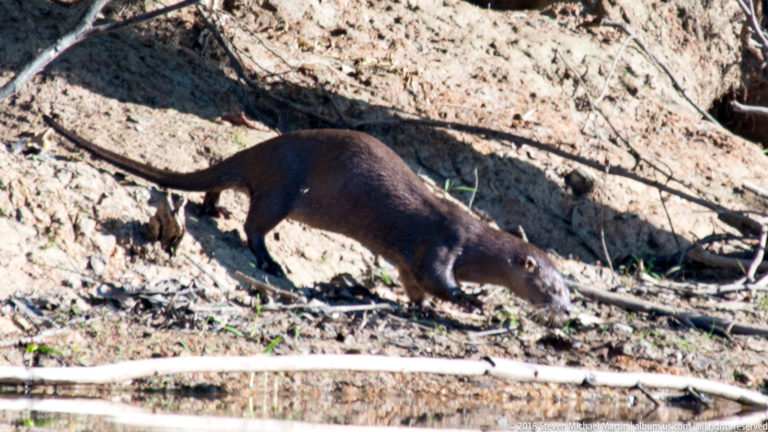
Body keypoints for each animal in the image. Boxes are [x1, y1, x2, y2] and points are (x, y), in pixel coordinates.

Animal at [43, 114, 571, 317]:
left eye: (566, 288)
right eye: (552, 287)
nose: (566, 309)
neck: (477, 240)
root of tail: (262, 150)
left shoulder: (409, 263)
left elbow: (414, 284)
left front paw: (420, 306)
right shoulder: (442, 242)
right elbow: (436, 278)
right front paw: (473, 301)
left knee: (219, 182)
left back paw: (213, 205)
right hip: (282, 189)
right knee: (253, 226)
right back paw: (270, 263)